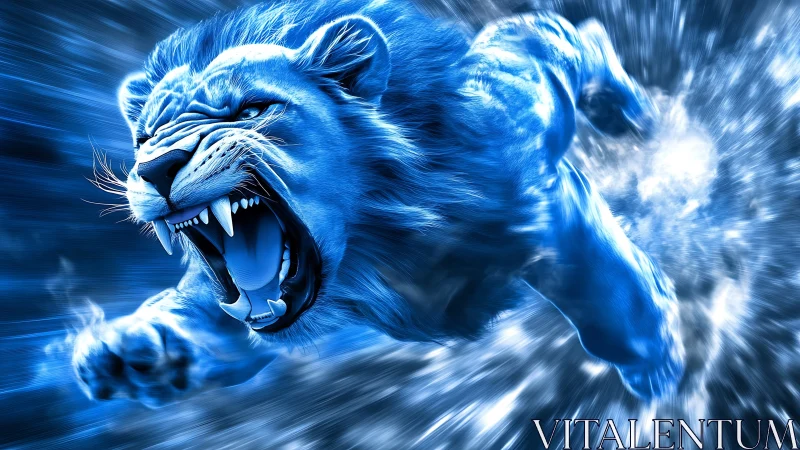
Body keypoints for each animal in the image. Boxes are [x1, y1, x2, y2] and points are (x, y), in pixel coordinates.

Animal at [73, 0, 684, 406]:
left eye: (250, 111)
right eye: (145, 137)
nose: (157, 167)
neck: (371, 248)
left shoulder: (549, 208)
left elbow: (610, 296)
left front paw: (655, 358)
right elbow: (199, 313)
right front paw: (130, 353)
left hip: (543, 60)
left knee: (581, 38)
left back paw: (631, 111)